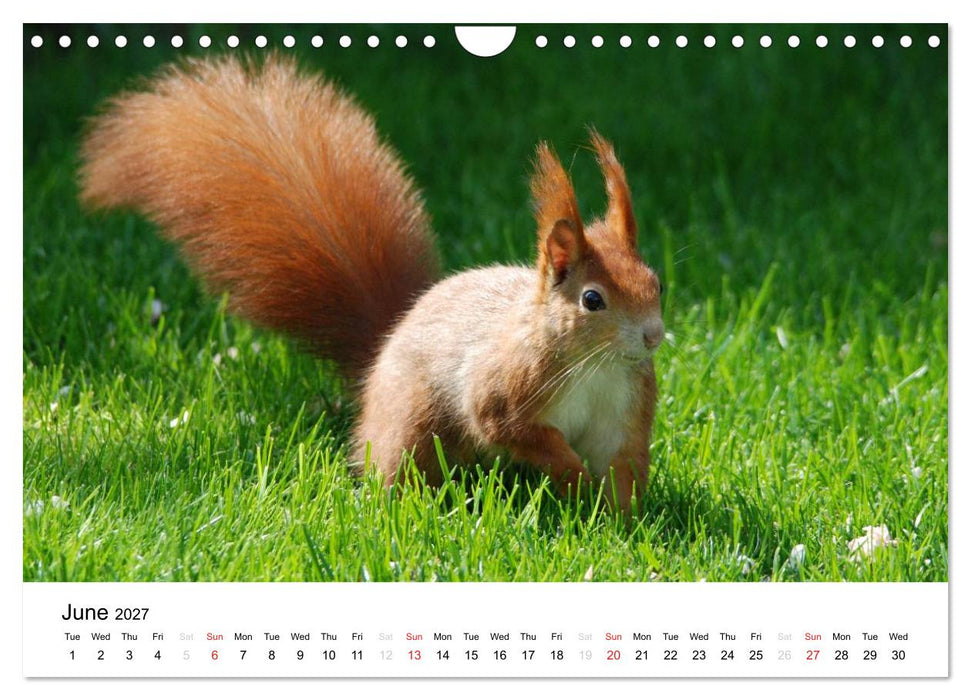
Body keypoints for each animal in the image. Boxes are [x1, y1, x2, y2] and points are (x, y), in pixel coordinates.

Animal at [79, 55, 664, 511]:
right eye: (592, 300)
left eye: (656, 283)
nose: (654, 336)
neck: (595, 365)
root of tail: (381, 350)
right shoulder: (506, 387)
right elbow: (510, 427)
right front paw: (572, 477)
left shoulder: (624, 410)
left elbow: (621, 469)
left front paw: (619, 526)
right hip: (413, 424)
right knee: (404, 469)